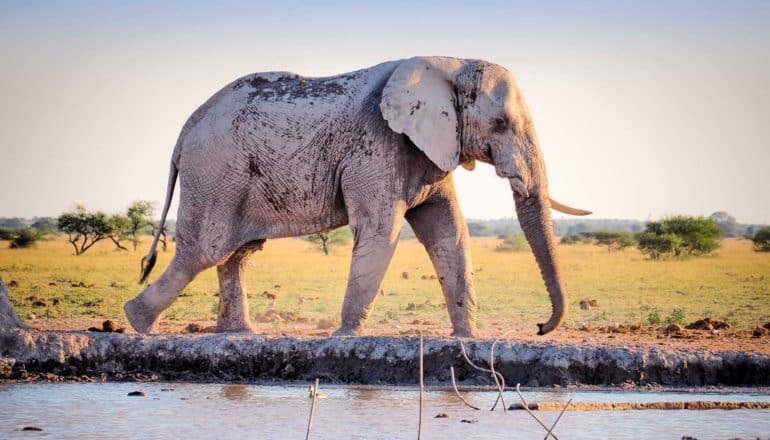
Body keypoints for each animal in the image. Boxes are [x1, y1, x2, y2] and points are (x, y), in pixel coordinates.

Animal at [123, 55, 588, 336]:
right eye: (501, 123)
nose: (539, 328)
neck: (450, 63)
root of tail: (186, 128)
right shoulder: (378, 146)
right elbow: (381, 231)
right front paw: (345, 336)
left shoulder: (426, 149)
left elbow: (449, 232)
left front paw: (467, 338)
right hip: (216, 171)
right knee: (205, 250)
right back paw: (138, 323)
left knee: (236, 253)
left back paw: (239, 334)